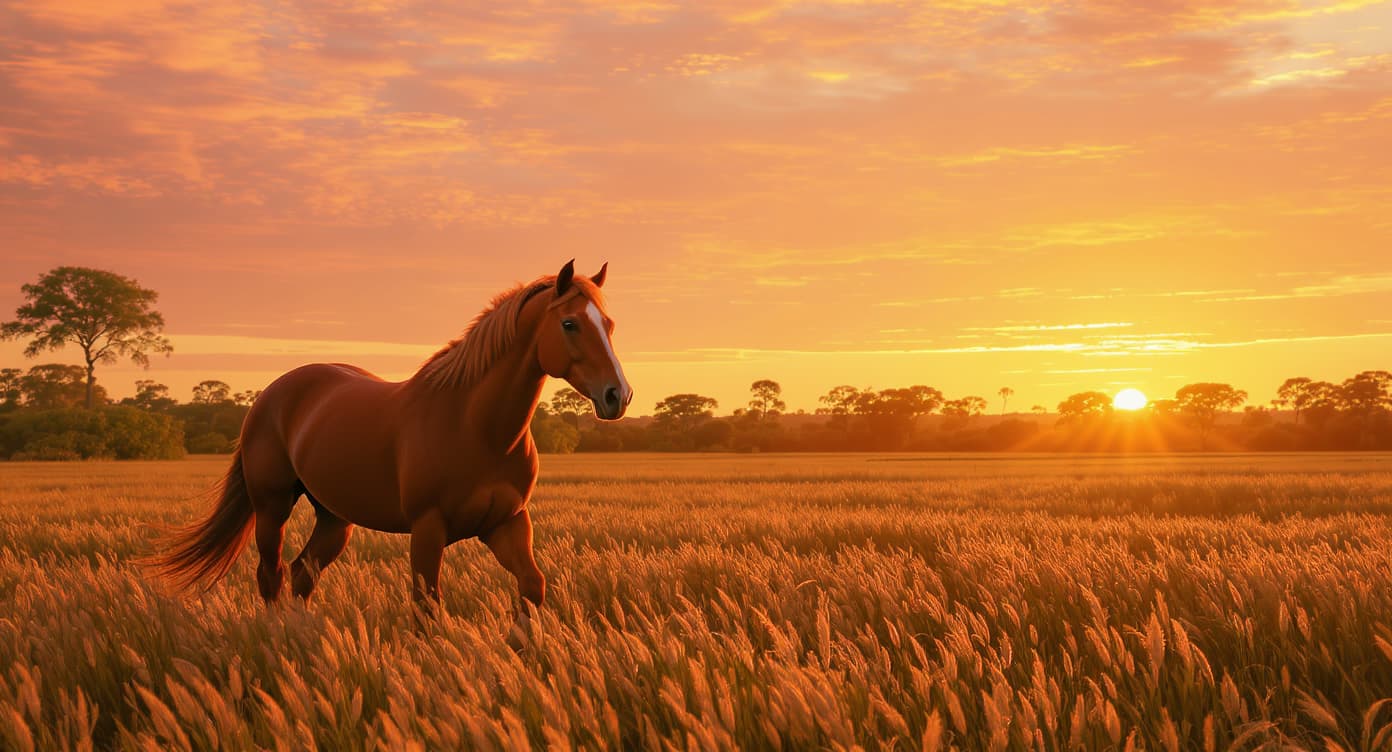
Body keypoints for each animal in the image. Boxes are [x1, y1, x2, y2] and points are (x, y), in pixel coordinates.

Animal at [149, 260, 631, 640]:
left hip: (335, 518)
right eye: (569, 324)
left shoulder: (507, 523)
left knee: (303, 574)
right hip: (272, 507)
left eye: (608, 325)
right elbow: (426, 606)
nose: (618, 395)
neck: (475, 426)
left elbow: (532, 587)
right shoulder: (428, 528)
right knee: (272, 575)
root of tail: (272, 393)